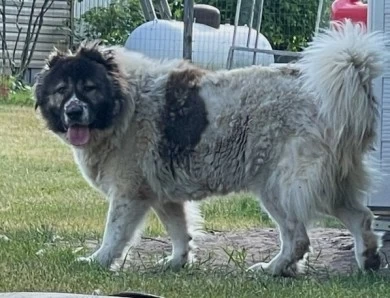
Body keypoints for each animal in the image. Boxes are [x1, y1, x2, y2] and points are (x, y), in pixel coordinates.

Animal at [34, 21, 386, 276]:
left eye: (89, 88)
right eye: (61, 90)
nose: (73, 112)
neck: (126, 104)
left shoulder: (129, 194)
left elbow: (114, 233)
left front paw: (99, 261)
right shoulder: (161, 194)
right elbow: (180, 231)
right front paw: (177, 262)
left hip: (281, 186)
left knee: (298, 237)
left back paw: (273, 269)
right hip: (323, 184)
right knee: (361, 217)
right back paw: (367, 259)